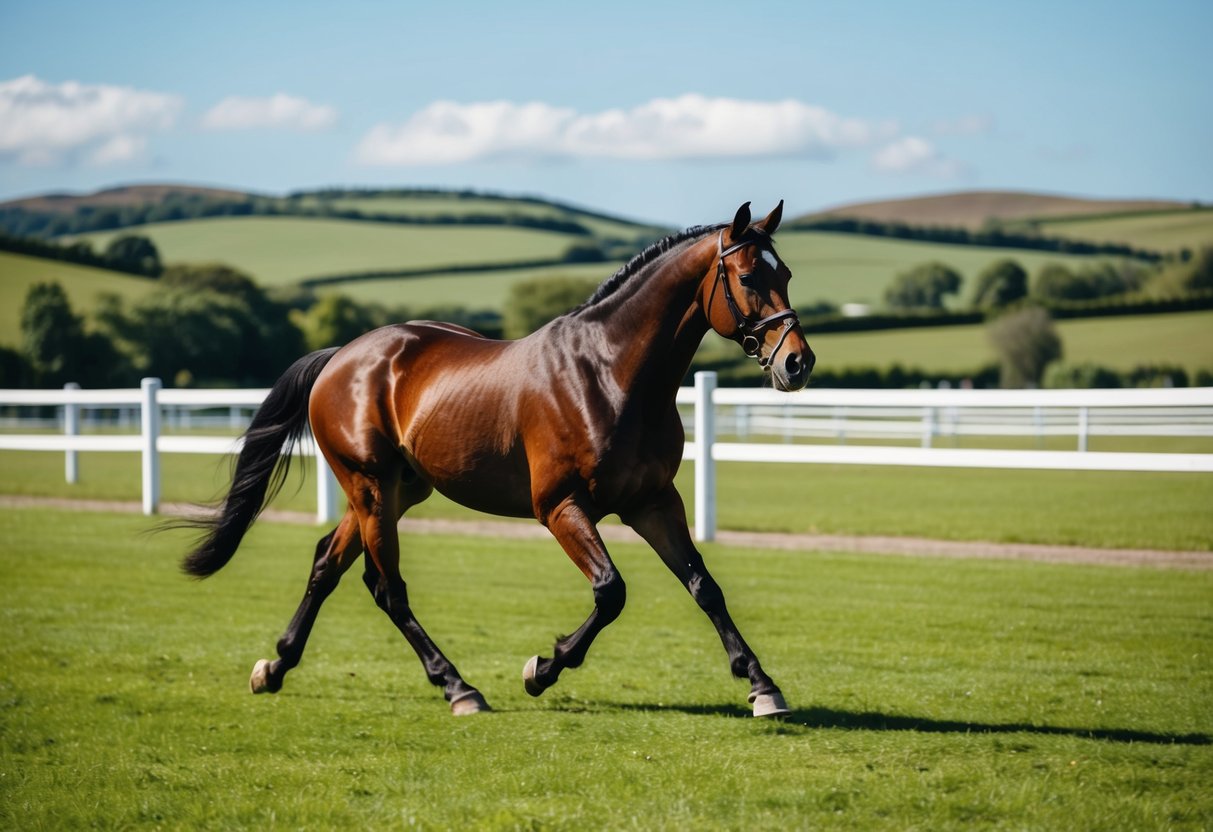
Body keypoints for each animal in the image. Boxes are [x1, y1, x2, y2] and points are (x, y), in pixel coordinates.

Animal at [181, 200, 815, 718]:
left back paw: (275, 668)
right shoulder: (559, 506)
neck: (609, 373)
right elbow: (611, 591)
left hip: (397, 490)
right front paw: (542, 669)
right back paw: (458, 688)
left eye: (785, 272)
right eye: (748, 276)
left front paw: (763, 687)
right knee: (388, 588)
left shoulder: (654, 502)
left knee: (326, 565)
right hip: (369, 487)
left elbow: (704, 586)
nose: (797, 363)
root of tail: (342, 357)